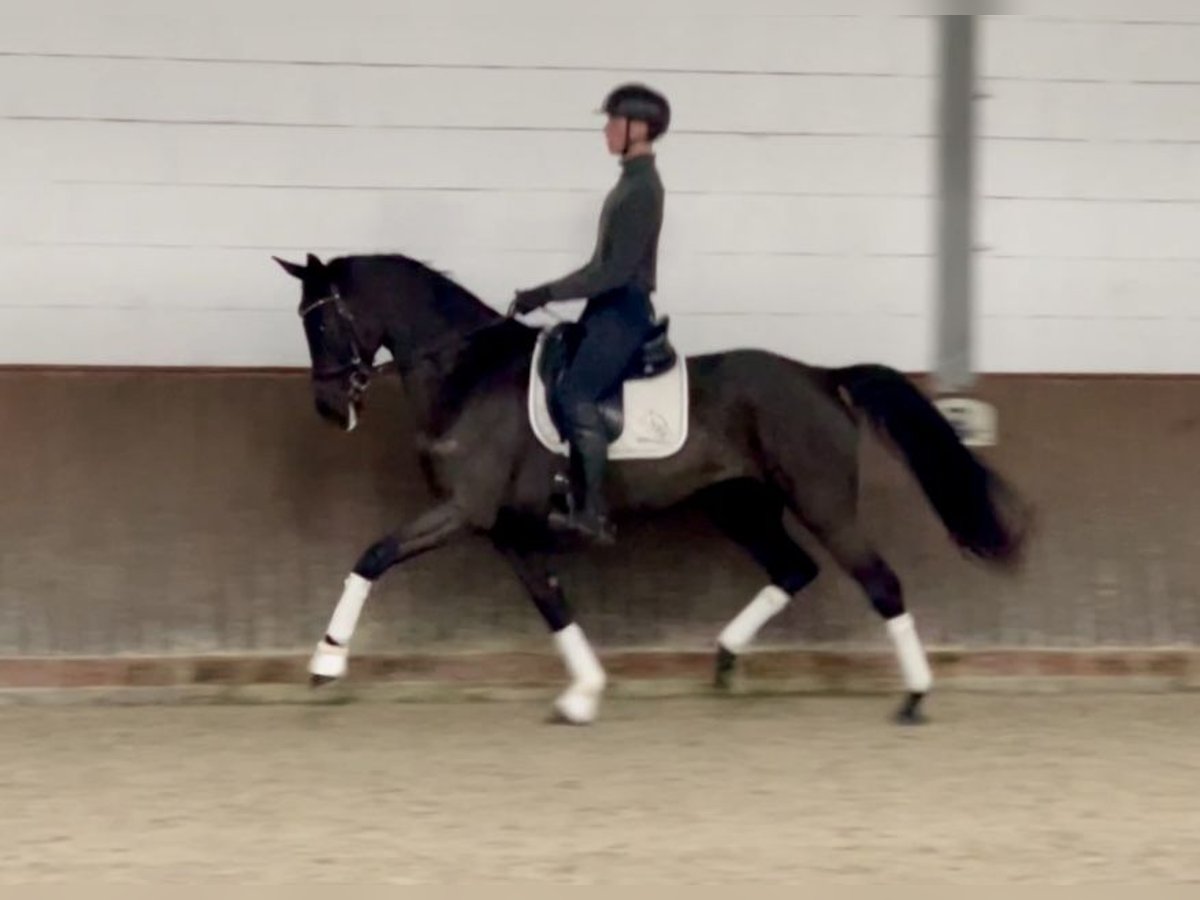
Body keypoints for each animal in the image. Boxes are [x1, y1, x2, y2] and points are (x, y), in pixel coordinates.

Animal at [274, 252, 1032, 724]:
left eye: (323, 318)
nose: (328, 407)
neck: (468, 369)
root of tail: (821, 377)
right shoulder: (507, 529)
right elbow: (553, 604)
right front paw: (583, 695)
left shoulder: (464, 510)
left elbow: (372, 556)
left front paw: (325, 662)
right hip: (737, 504)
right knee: (794, 568)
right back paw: (725, 660)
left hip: (823, 503)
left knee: (881, 583)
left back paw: (914, 697)